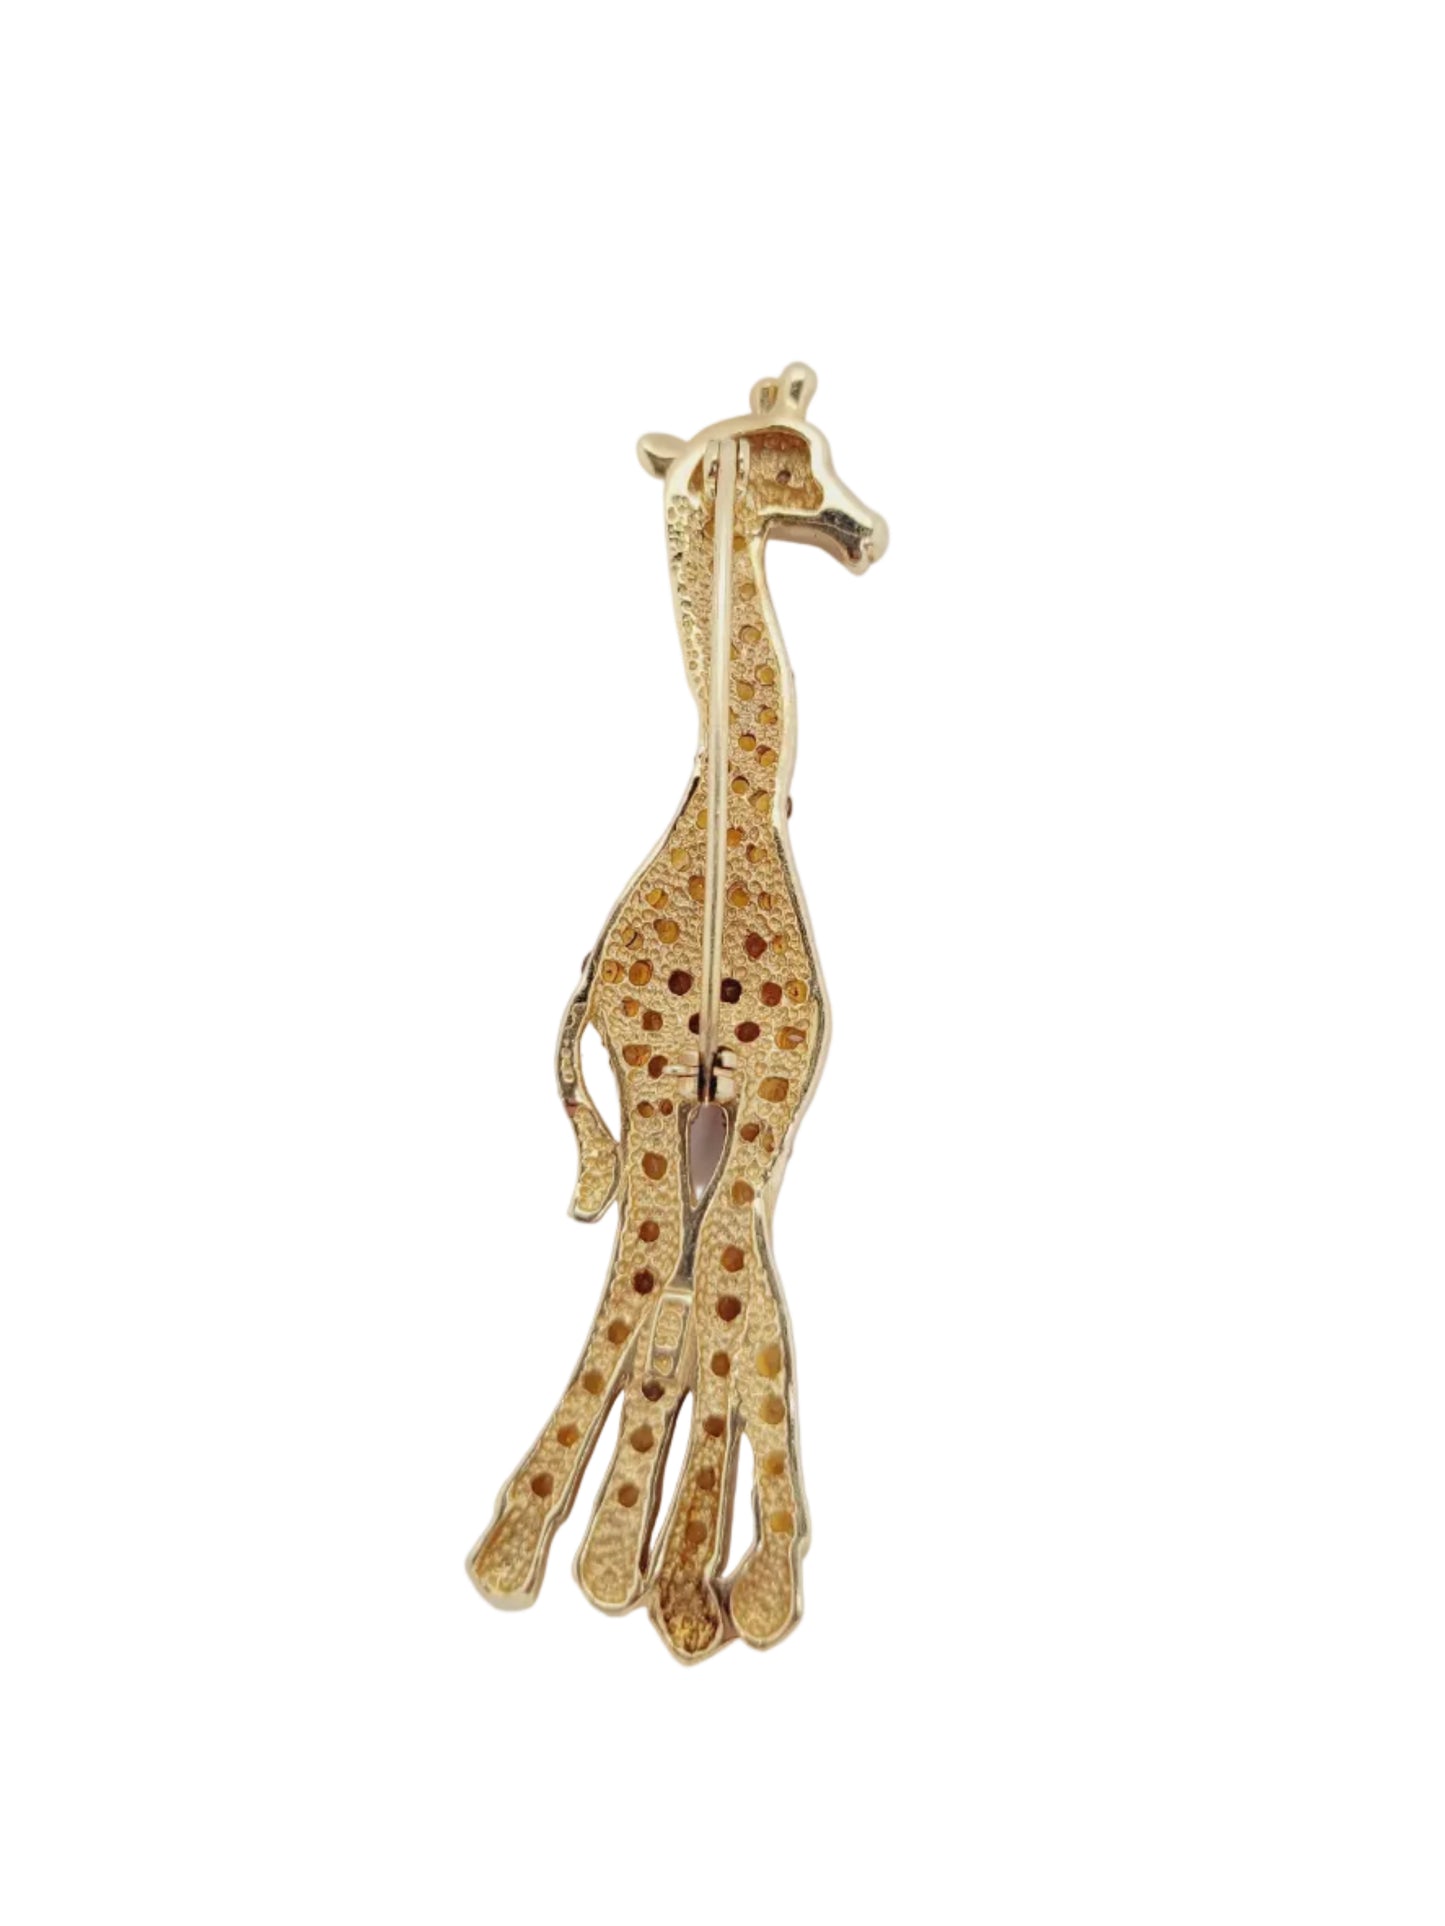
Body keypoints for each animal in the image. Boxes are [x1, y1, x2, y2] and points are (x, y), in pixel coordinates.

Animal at [466, 364, 887, 1661]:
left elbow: (735, 1307)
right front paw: (679, 1577)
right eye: (796, 464)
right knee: (646, 1273)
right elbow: (714, 1301)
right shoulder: (694, 1085)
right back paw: (541, 1551)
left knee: (674, 1277)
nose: (865, 533)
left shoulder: (754, 1096)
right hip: (652, 1103)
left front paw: (697, 1576)